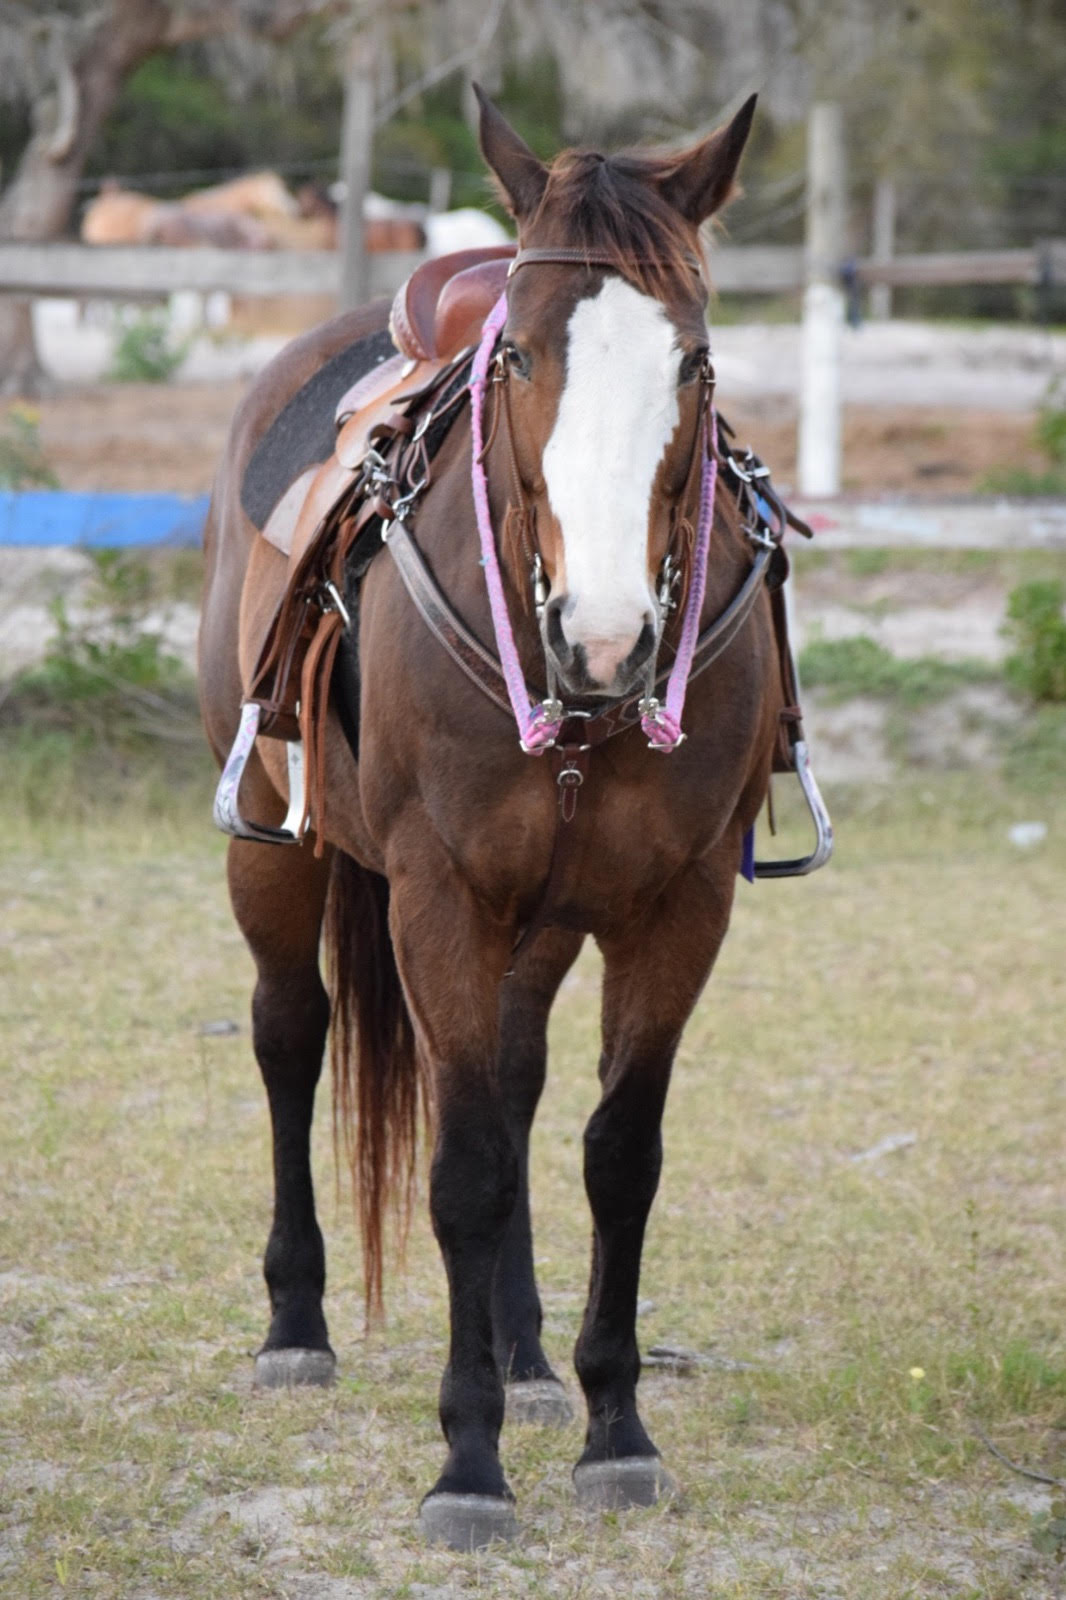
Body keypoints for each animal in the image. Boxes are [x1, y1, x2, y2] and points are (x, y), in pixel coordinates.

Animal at [199, 84, 806, 1548]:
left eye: (695, 365)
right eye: (518, 358)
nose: (605, 638)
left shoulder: (677, 906)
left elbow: (614, 1154)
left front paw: (613, 1429)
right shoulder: (438, 898)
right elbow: (464, 1167)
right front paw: (466, 1463)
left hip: (542, 921)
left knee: (520, 1083)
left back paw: (527, 1358)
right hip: (273, 846)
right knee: (291, 1034)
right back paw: (296, 1327)